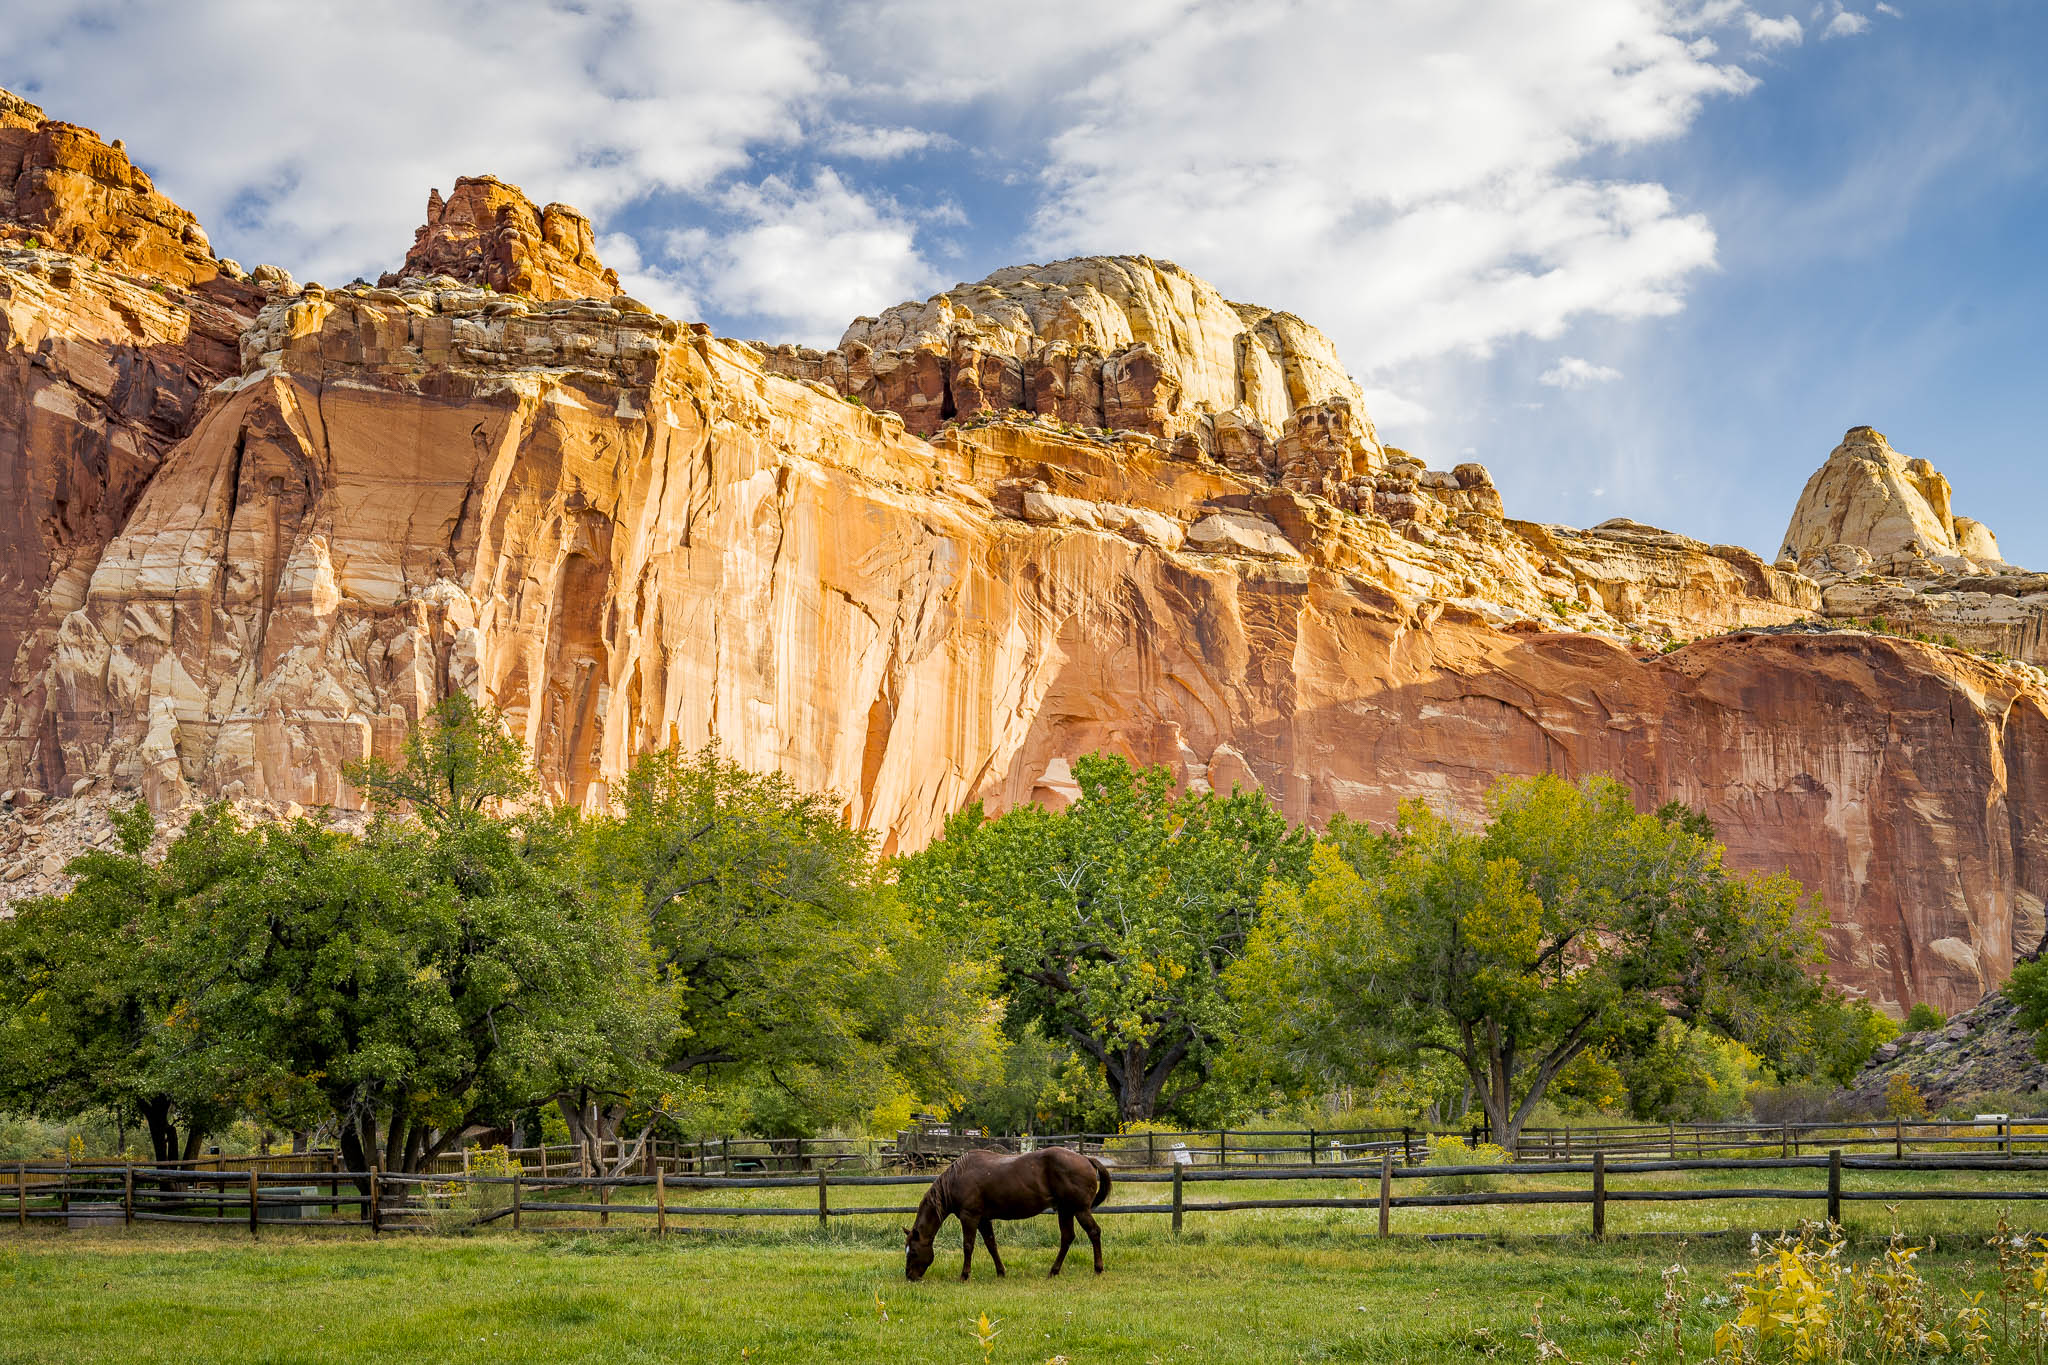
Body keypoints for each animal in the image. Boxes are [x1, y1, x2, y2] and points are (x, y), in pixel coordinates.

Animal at [905, 1154, 1114, 1285]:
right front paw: (1001, 1272)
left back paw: (1098, 1268)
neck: (957, 1178)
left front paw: (964, 1275)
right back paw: (1053, 1271)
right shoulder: (984, 1220)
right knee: (1067, 1238)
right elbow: (991, 1245)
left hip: (1079, 1210)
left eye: (913, 1252)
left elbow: (968, 1246)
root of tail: (1085, 1158)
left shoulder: (970, 1217)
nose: (909, 1276)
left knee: (1093, 1232)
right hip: (1065, 1210)